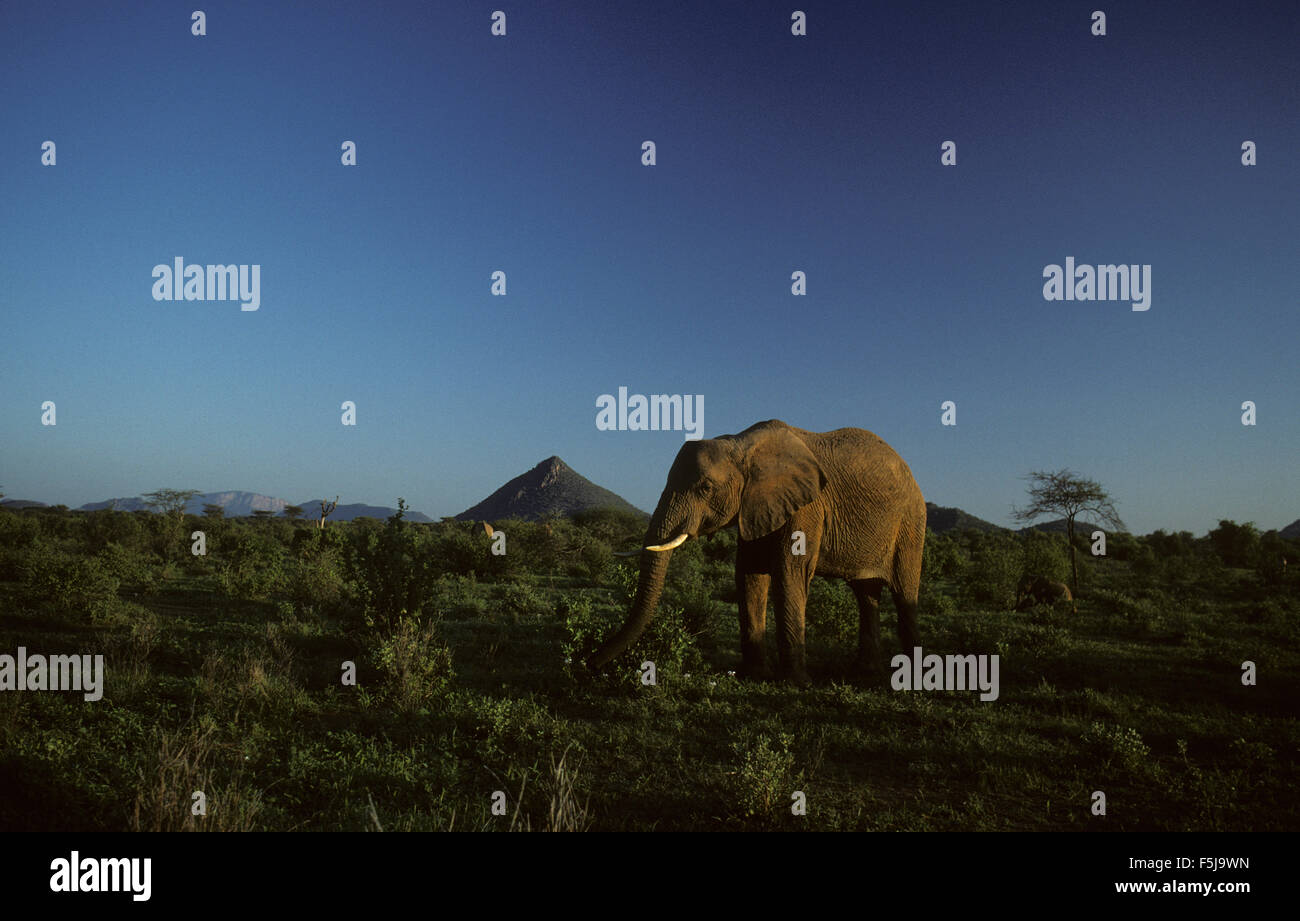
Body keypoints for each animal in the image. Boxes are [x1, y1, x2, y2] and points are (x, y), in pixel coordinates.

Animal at [590, 416, 925, 681]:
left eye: (706, 488)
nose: (588, 660)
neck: (741, 446)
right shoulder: (756, 506)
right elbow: (749, 576)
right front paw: (755, 675)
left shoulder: (808, 506)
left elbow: (789, 573)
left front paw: (795, 682)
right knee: (865, 594)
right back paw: (866, 673)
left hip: (910, 523)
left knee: (904, 592)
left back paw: (911, 678)